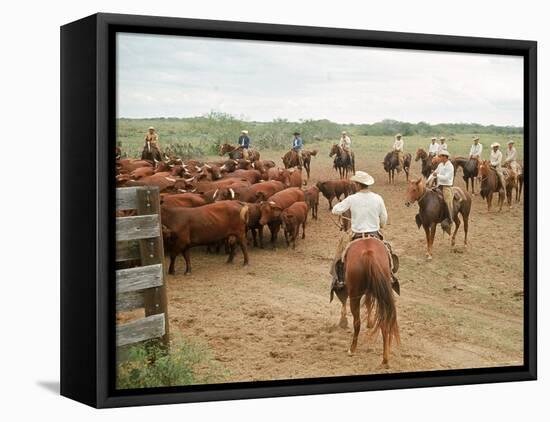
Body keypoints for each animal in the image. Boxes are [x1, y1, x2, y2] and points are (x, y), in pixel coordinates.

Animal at [344, 237, 402, 366]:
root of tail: (368, 253)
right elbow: (369, 303)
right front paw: (370, 323)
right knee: (384, 323)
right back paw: (385, 358)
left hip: (354, 295)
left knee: (357, 322)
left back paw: (352, 349)